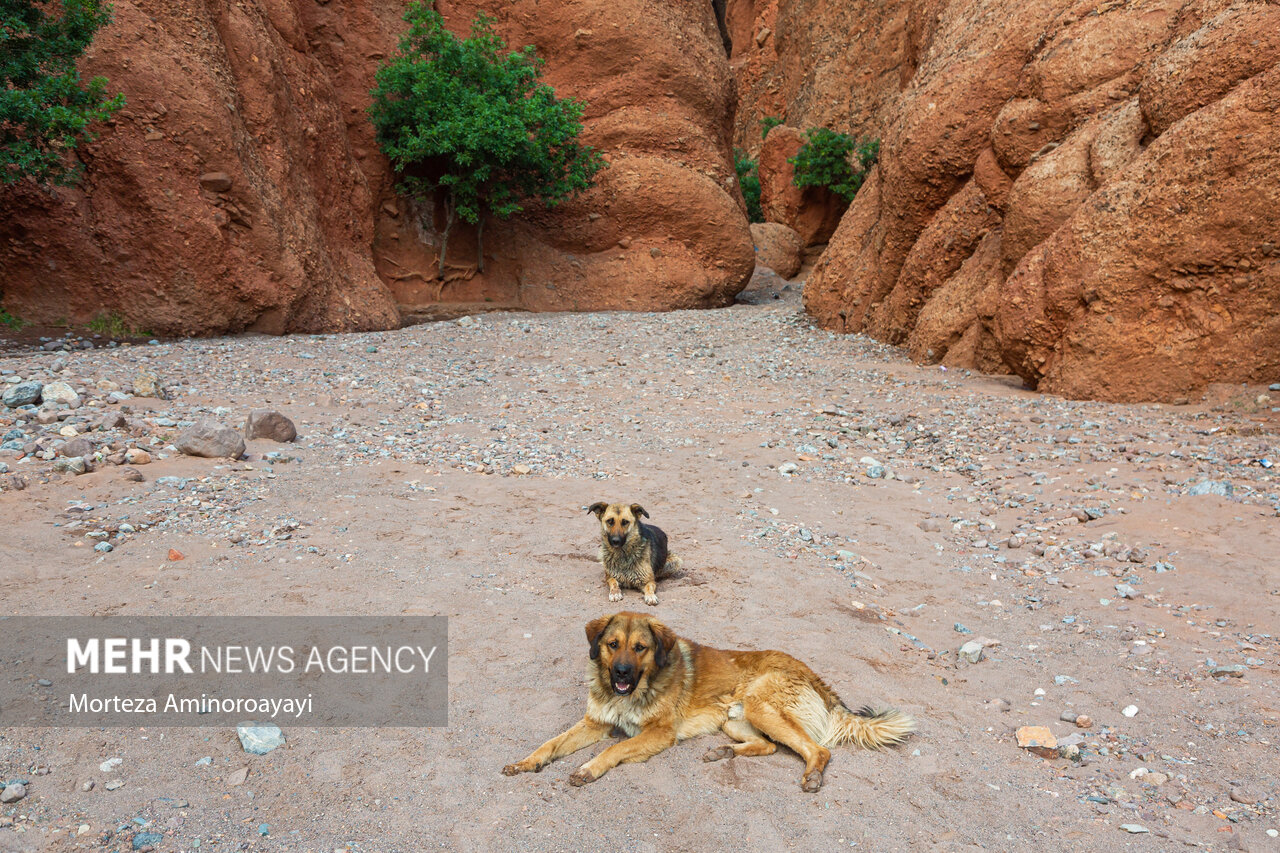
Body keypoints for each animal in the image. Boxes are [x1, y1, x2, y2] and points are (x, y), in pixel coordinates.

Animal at [501, 612, 921, 783]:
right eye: (612, 644)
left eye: (640, 648)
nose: (620, 673)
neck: (633, 691)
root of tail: (814, 675)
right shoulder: (595, 723)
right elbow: (550, 744)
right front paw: (526, 762)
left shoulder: (658, 734)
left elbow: (614, 749)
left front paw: (589, 768)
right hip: (735, 719)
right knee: (769, 746)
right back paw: (723, 752)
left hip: (761, 706)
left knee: (816, 750)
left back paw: (813, 776)